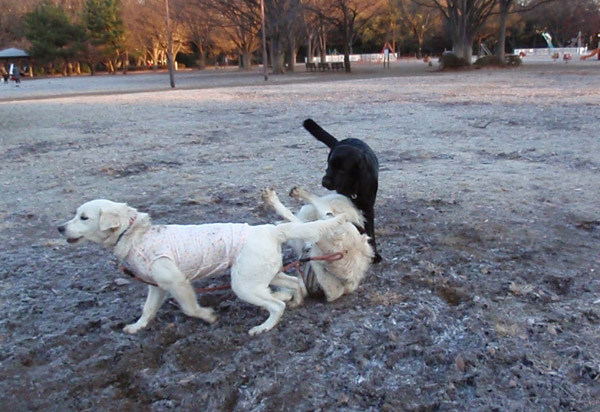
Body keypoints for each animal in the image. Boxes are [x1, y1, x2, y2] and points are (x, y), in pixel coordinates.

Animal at [59, 199, 346, 334]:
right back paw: (295, 301)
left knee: (276, 305)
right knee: (294, 282)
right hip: (264, 275)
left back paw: (264, 327)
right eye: (75, 214)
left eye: (83, 217)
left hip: (243, 285)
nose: (60, 228)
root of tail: (269, 230)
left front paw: (208, 316)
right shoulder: (157, 286)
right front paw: (137, 326)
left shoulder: (177, 282)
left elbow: (189, 308)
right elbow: (147, 309)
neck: (135, 234)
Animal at [302, 117, 382, 262]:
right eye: (329, 165)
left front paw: (374, 254)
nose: (324, 182)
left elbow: (371, 233)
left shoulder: (368, 208)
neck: (354, 186)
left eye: (342, 169)